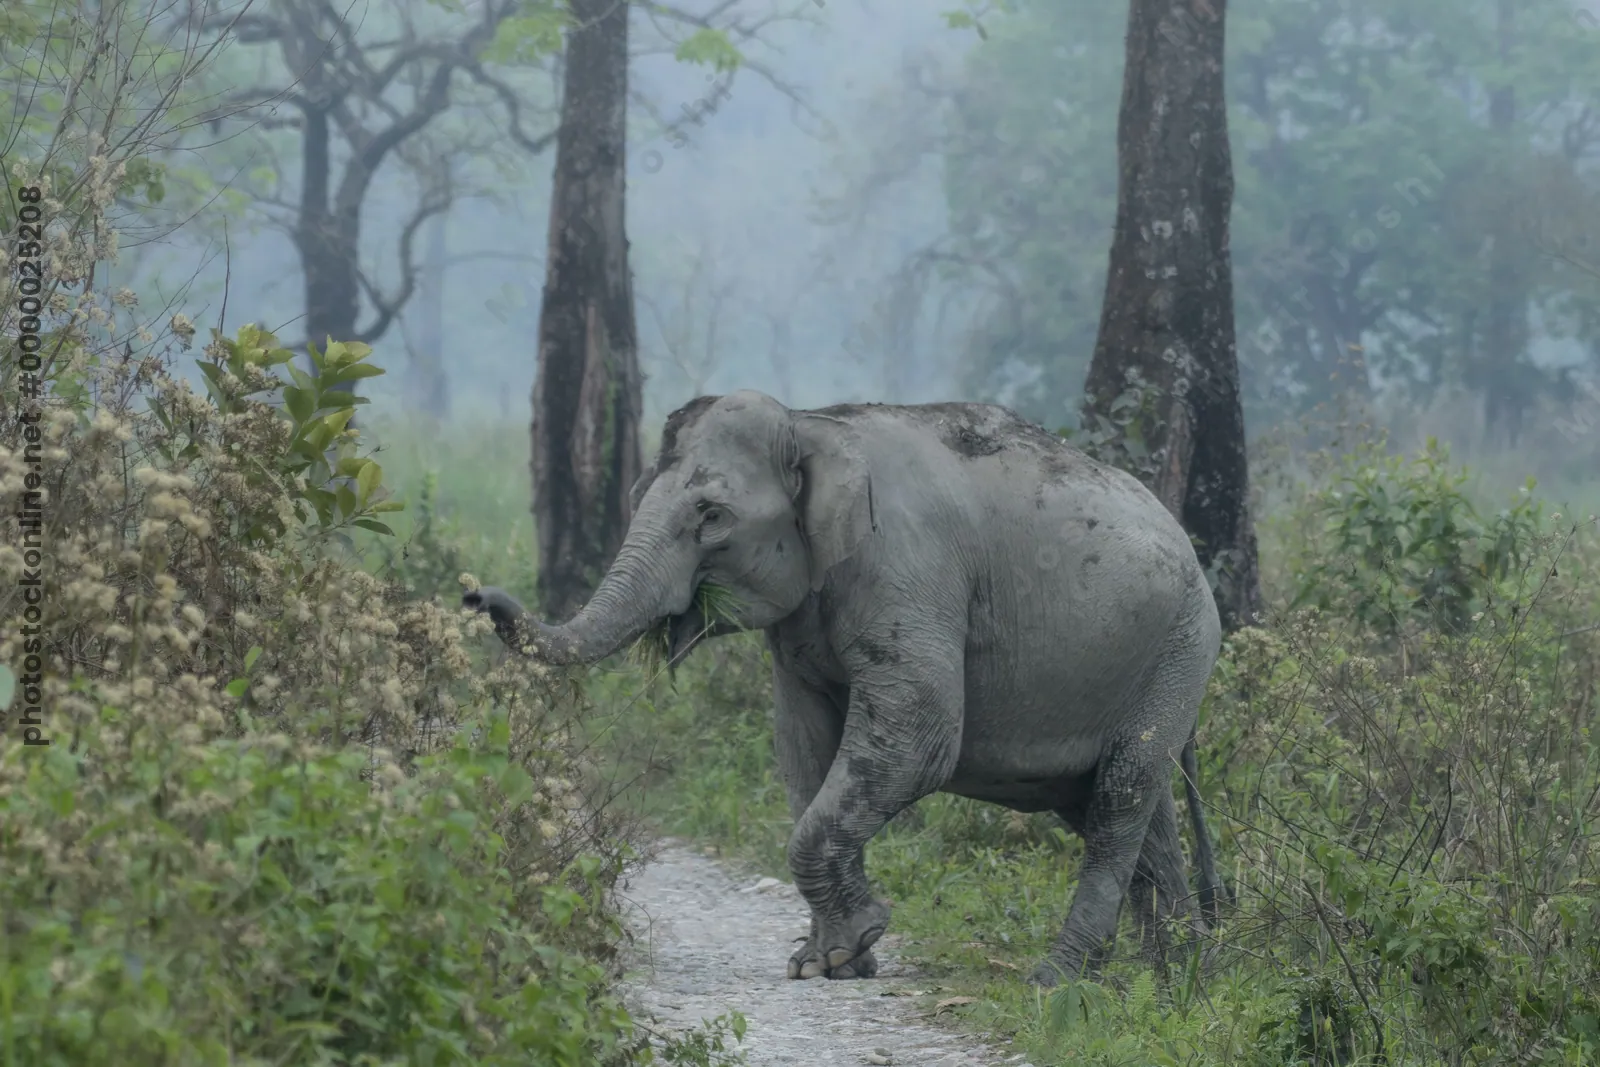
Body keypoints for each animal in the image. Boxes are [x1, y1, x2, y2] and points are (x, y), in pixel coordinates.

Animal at [465, 390, 1225, 985]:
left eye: (711, 515)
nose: (475, 594)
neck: (814, 423)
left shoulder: (909, 569)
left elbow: (920, 736)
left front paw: (846, 946)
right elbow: (804, 749)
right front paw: (831, 961)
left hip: (1180, 647)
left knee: (1121, 794)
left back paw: (1059, 979)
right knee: (1121, 808)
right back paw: (1174, 977)